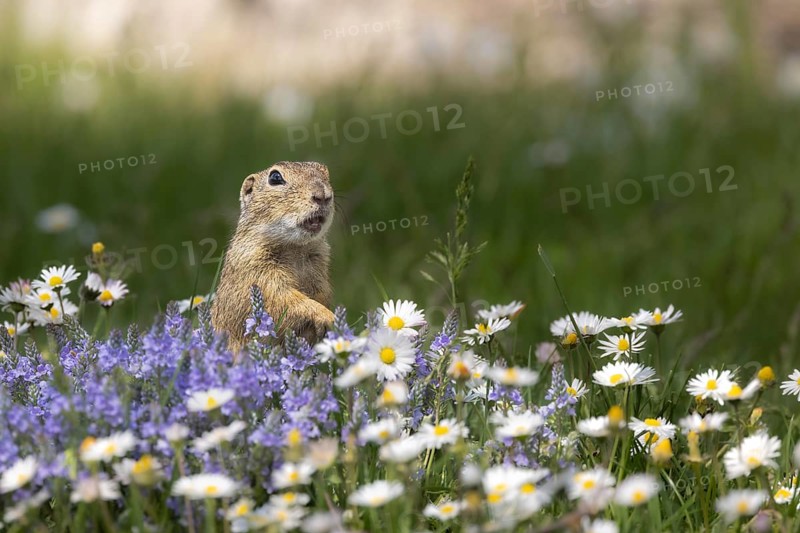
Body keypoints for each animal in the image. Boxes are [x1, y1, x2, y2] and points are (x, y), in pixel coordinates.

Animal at [211, 161, 335, 349]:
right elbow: (282, 299)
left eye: (325, 171)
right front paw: (327, 316)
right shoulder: (255, 272)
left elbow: (322, 293)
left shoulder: (319, 270)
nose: (323, 195)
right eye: (275, 177)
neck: (295, 249)